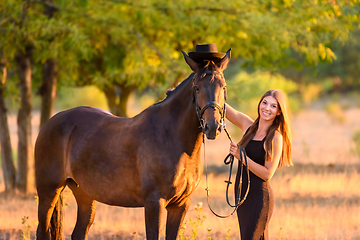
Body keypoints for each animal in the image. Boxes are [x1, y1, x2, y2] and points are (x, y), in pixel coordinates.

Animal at [33, 48, 231, 238]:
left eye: (223, 87)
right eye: (197, 88)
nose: (212, 127)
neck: (172, 137)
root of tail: (50, 122)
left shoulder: (180, 204)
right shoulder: (154, 202)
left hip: (85, 194)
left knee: (79, 232)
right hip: (49, 192)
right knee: (42, 231)